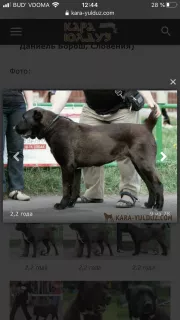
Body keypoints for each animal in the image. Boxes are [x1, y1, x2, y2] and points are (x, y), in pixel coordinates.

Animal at [15, 107, 164, 211]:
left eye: (23, 117)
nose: (14, 126)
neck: (52, 127)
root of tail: (146, 126)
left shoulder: (66, 166)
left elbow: (66, 188)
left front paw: (62, 205)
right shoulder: (75, 168)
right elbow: (74, 189)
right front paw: (70, 204)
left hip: (144, 163)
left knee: (158, 184)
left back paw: (159, 207)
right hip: (139, 165)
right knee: (150, 185)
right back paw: (149, 204)